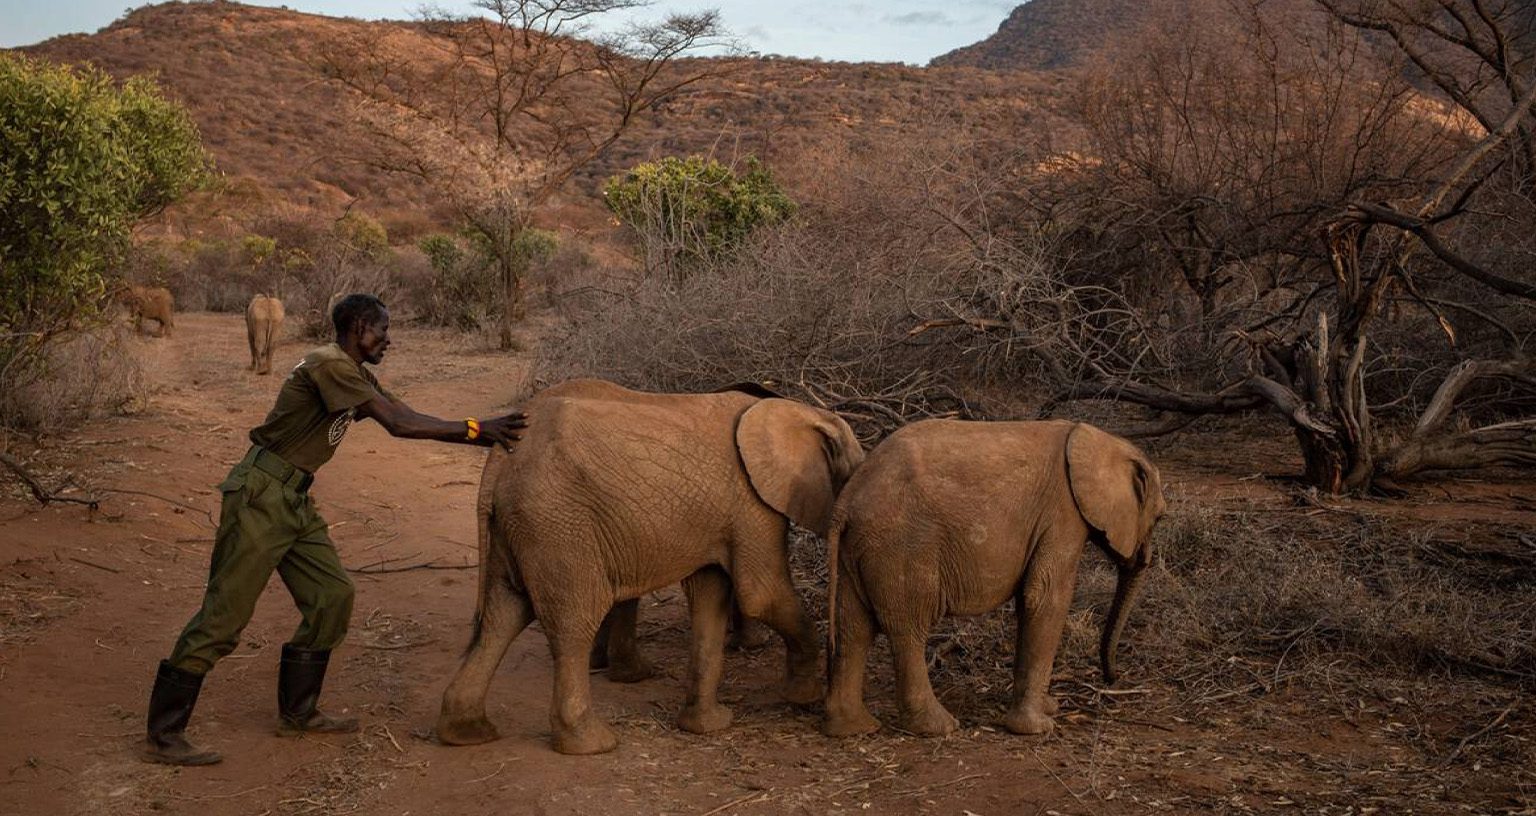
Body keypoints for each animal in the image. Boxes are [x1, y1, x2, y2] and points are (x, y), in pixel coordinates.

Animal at [437, 378, 865, 755]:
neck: (800, 410)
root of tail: (497, 463)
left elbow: (711, 596)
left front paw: (708, 725)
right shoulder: (751, 503)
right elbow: (762, 593)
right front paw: (802, 695)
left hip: (522, 524)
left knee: (503, 615)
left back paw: (467, 733)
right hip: (557, 523)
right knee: (573, 621)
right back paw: (593, 743)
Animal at [821, 419, 1165, 739]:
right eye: (1160, 517)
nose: (1112, 678)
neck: (1096, 437)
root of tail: (845, 501)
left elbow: (1029, 602)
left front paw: (1048, 707)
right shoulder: (1063, 517)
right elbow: (1046, 597)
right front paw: (1038, 727)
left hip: (860, 548)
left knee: (854, 628)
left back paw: (854, 728)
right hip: (901, 547)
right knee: (909, 629)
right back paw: (939, 727)